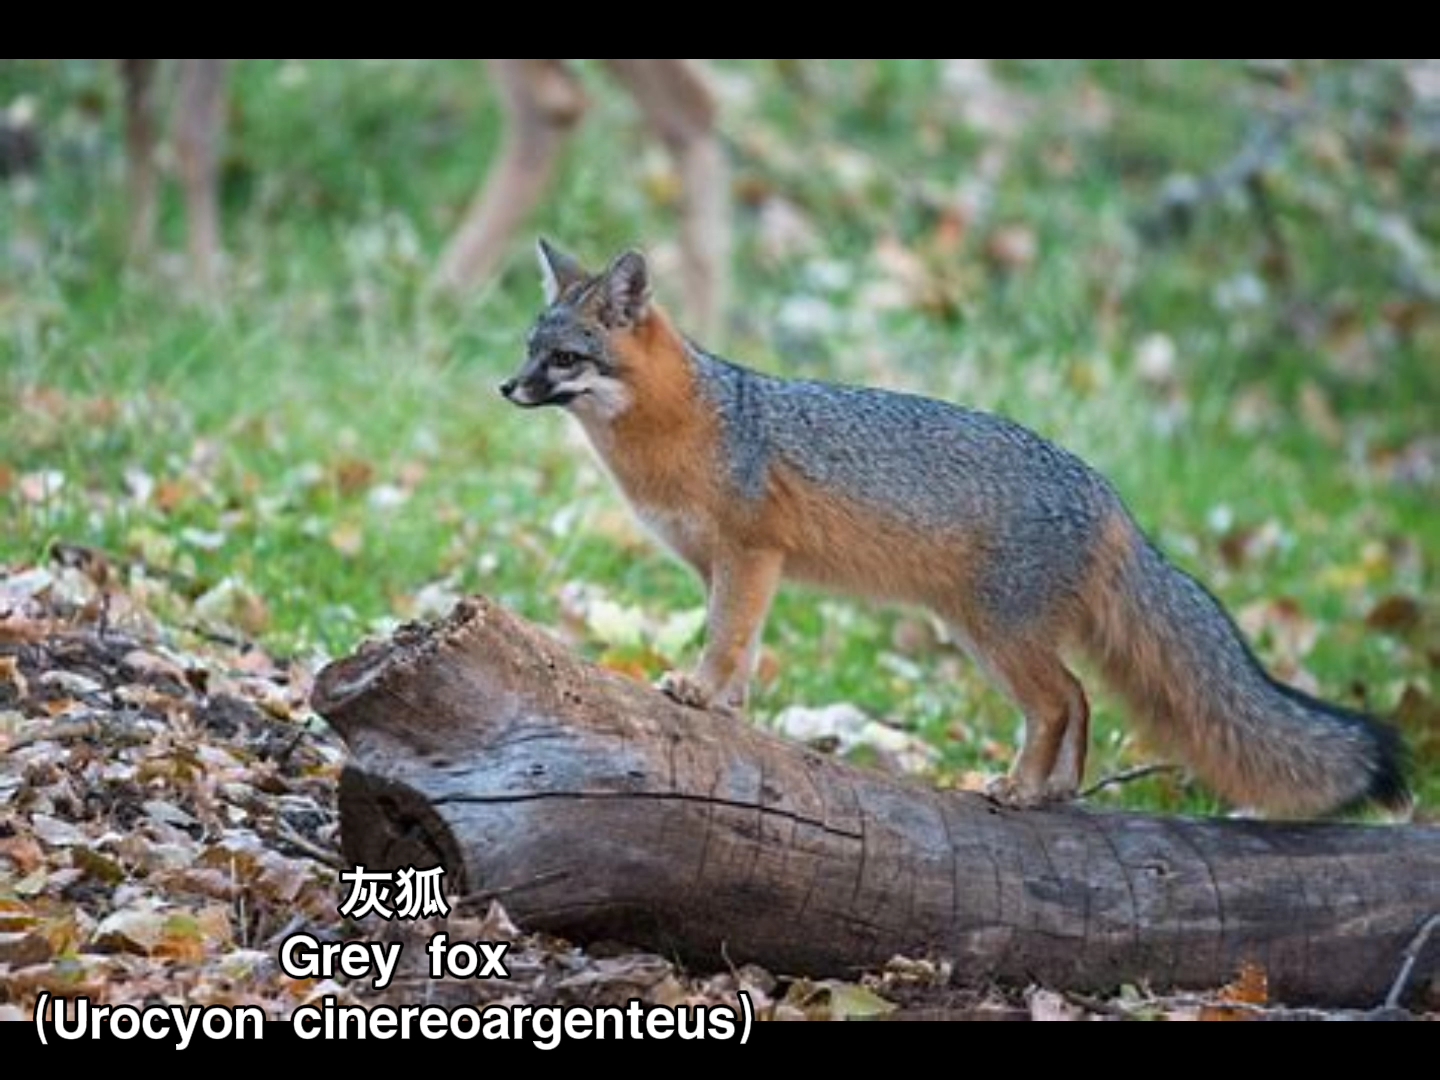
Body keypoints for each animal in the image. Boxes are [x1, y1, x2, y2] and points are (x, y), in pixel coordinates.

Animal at [504, 240, 1405, 817]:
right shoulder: (724, 568)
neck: (685, 424)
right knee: (1080, 698)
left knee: (1060, 700)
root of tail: (1108, 493)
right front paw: (727, 709)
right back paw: (1055, 791)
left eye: (565, 359)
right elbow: (746, 650)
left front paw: (698, 690)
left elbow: (725, 639)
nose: (506, 388)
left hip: (998, 635)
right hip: (985, 633)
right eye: (528, 349)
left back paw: (1022, 789)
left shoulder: (750, 555)